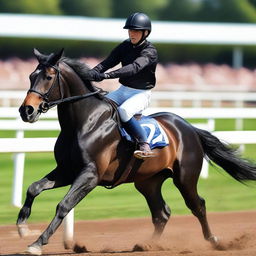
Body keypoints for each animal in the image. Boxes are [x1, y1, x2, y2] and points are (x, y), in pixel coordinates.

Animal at [17, 49, 256, 255]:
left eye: (48, 77)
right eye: (31, 76)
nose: (26, 110)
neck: (84, 122)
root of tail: (190, 128)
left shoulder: (90, 175)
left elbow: (63, 205)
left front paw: (38, 242)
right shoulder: (67, 170)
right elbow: (33, 188)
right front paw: (22, 225)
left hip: (185, 178)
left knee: (197, 205)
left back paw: (213, 240)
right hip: (147, 181)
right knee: (162, 212)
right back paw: (148, 244)